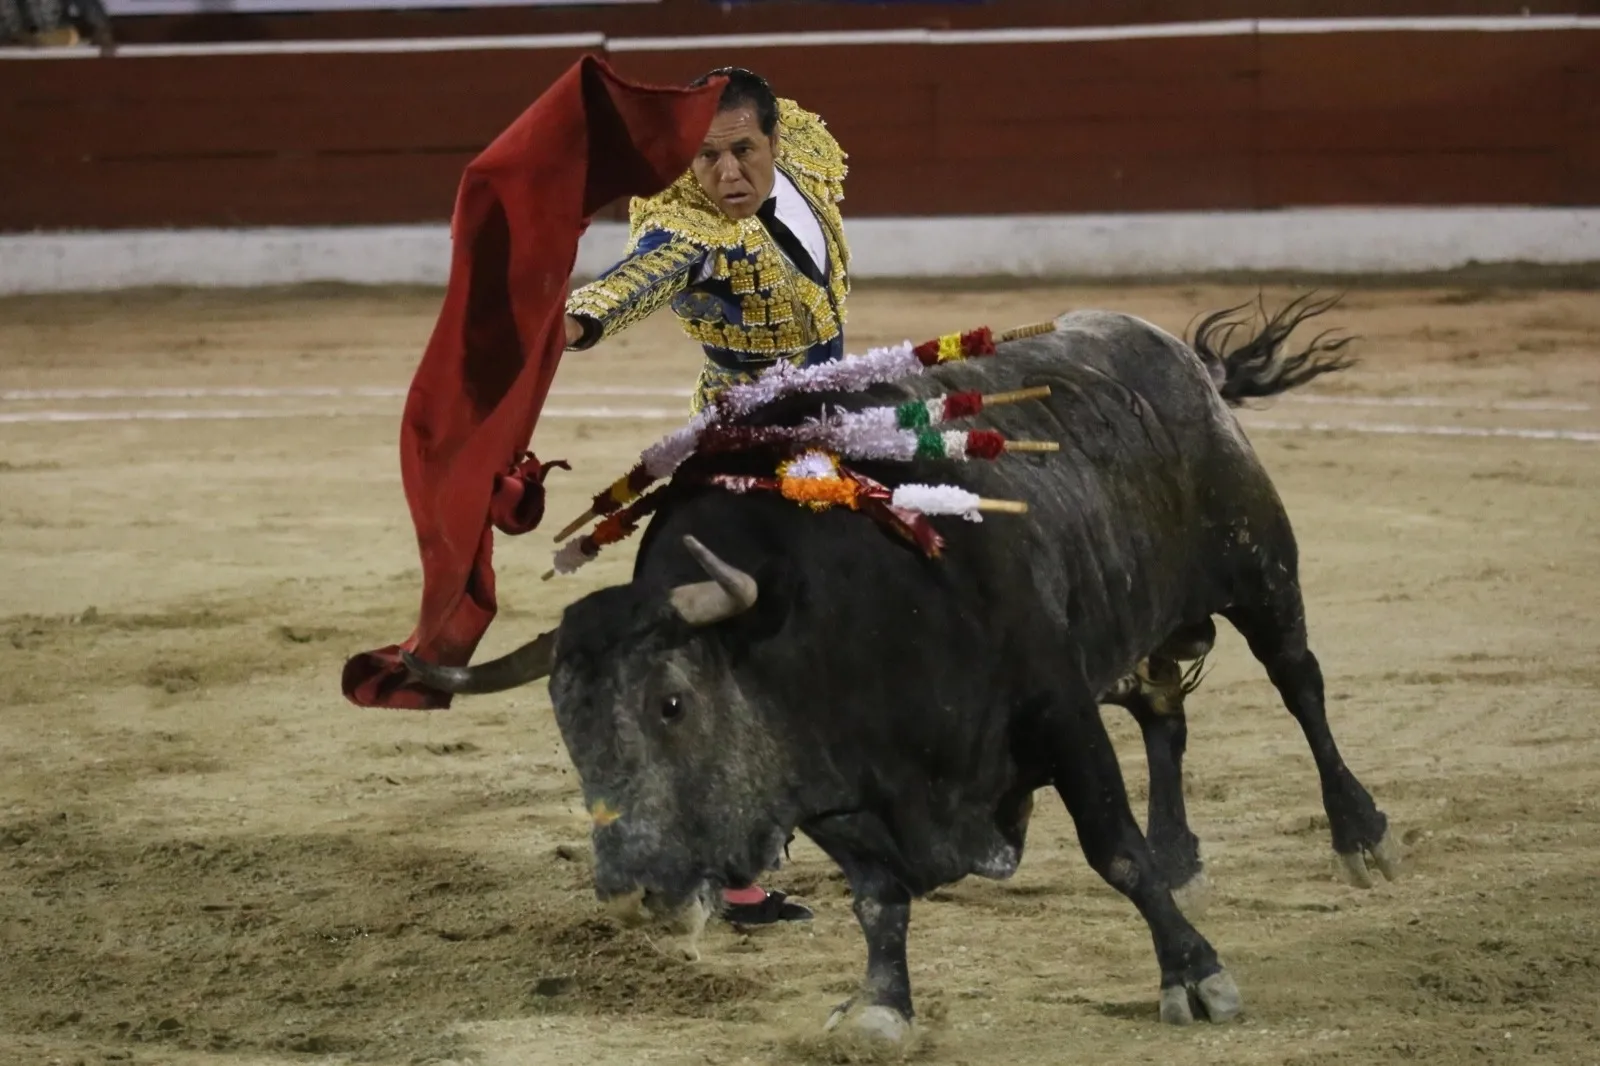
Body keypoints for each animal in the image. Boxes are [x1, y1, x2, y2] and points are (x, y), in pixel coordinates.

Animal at [403, 294, 1401, 1043]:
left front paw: (1195, 977)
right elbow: (878, 901)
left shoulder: (1057, 708)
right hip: (1128, 624)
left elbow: (1113, 850)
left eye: (673, 703)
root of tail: (1177, 354)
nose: (629, 892)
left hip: (1259, 567)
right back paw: (1184, 852)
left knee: (1300, 684)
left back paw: (1360, 836)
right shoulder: (831, 788)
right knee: (1164, 711)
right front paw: (881, 1009)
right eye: (567, 729)